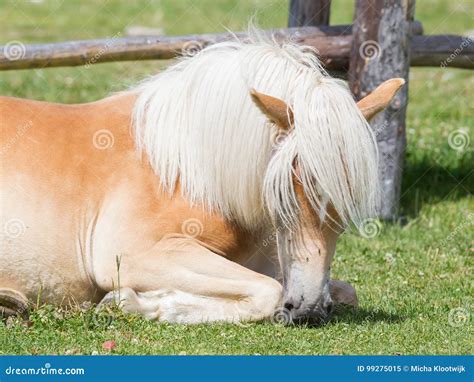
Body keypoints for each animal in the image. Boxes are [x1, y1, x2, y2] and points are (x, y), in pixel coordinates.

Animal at [0, 34, 404, 324]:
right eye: (286, 192)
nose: (308, 309)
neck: (191, 170)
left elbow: (344, 291)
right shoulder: (136, 254)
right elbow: (268, 293)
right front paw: (131, 303)